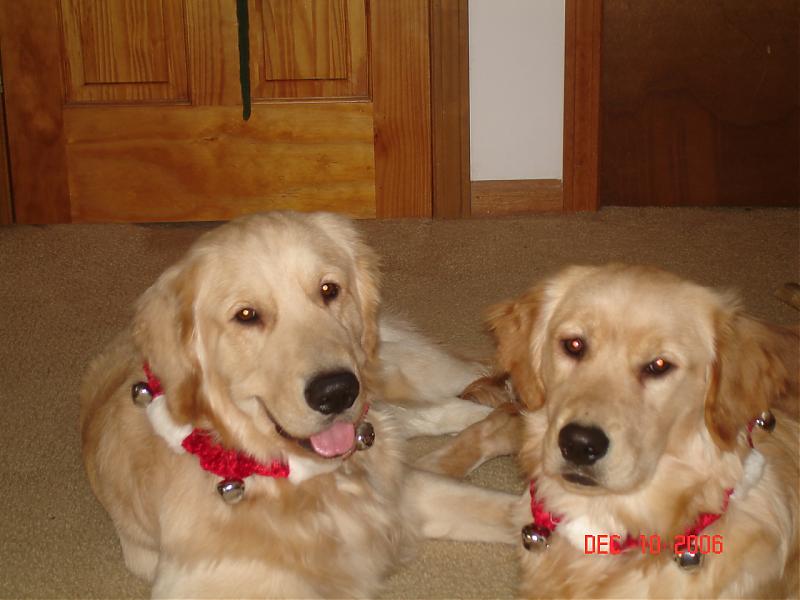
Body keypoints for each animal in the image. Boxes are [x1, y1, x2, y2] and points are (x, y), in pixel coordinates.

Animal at [80, 211, 516, 598]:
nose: (337, 392)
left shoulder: (408, 492)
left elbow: (510, 510)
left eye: (328, 290)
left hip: (397, 369)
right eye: (246, 315)